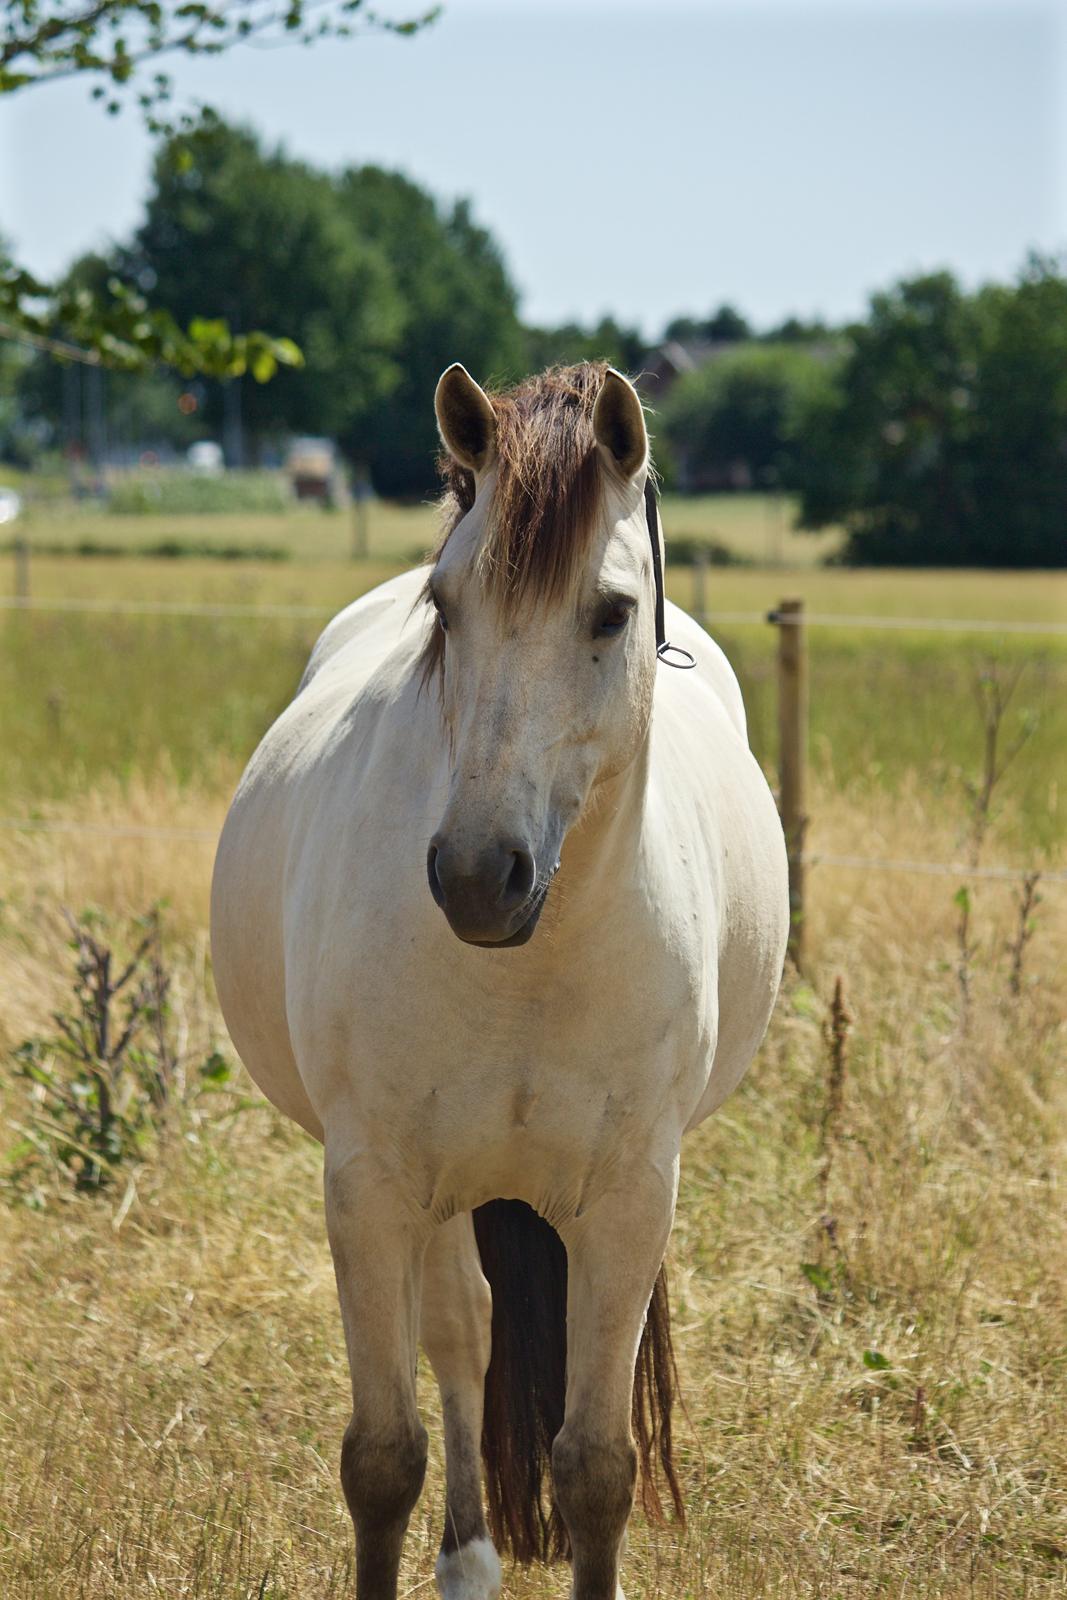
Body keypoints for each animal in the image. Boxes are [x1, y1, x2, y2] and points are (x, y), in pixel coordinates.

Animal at [211, 363, 793, 1600]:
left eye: (609, 612)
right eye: (446, 606)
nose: (479, 876)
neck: (531, 966)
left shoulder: (628, 1200)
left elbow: (595, 1468)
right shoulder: (371, 1187)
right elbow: (382, 1457)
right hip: (439, 1194)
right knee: (462, 1338)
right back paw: (468, 1560)